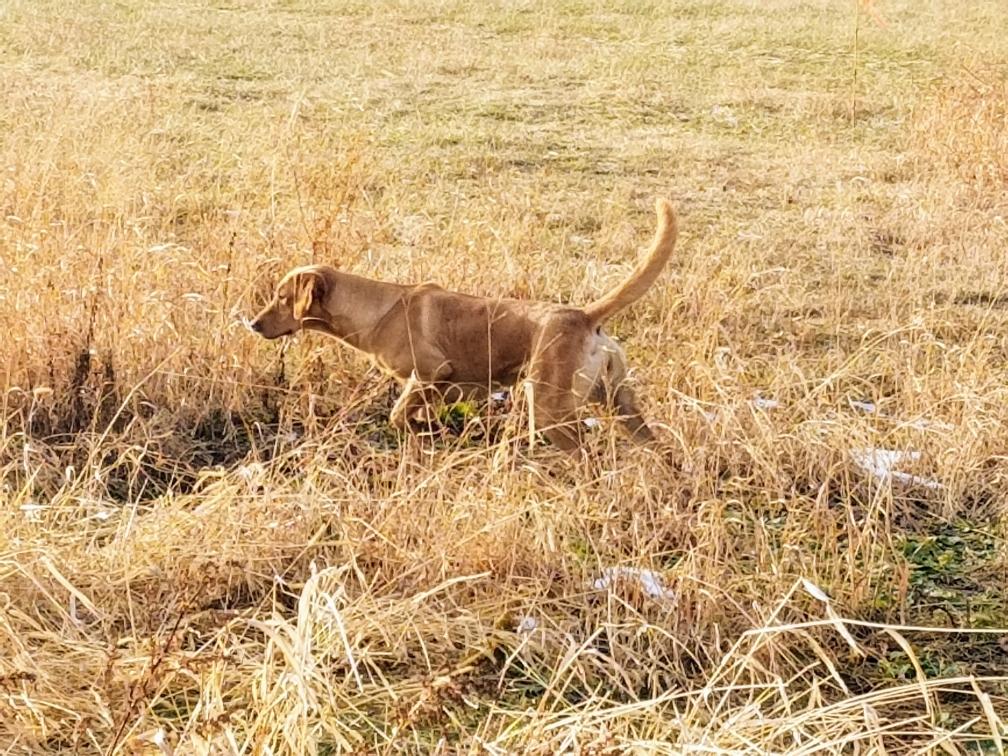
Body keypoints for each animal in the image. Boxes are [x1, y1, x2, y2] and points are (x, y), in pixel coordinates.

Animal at [249, 198, 677, 453]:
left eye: (282, 298)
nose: (252, 324)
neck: (378, 308)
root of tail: (584, 316)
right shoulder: (436, 388)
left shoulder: (429, 373)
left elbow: (398, 415)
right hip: (619, 403)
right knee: (655, 448)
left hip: (549, 408)